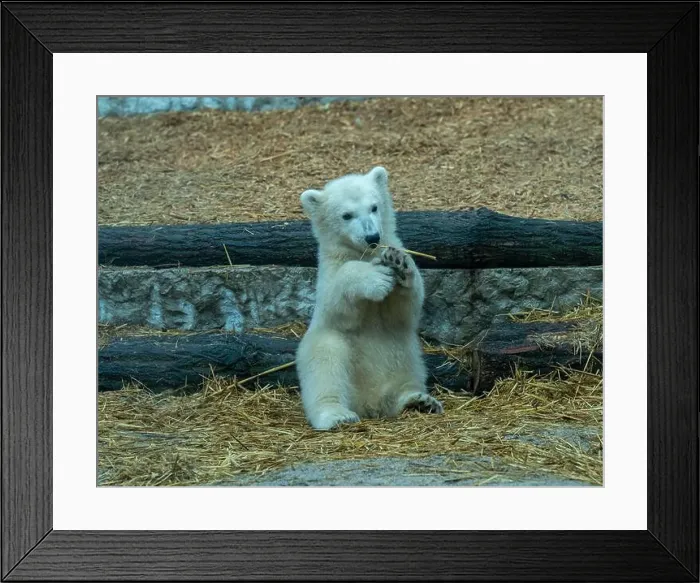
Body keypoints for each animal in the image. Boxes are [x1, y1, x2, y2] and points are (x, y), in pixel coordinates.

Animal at [295, 166, 444, 431]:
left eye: (374, 207)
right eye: (346, 215)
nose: (372, 237)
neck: (365, 254)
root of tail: (369, 403)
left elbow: (406, 308)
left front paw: (398, 263)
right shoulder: (328, 276)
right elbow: (339, 303)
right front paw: (375, 278)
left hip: (406, 356)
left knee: (407, 377)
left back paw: (418, 401)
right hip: (324, 350)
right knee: (327, 363)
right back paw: (337, 415)